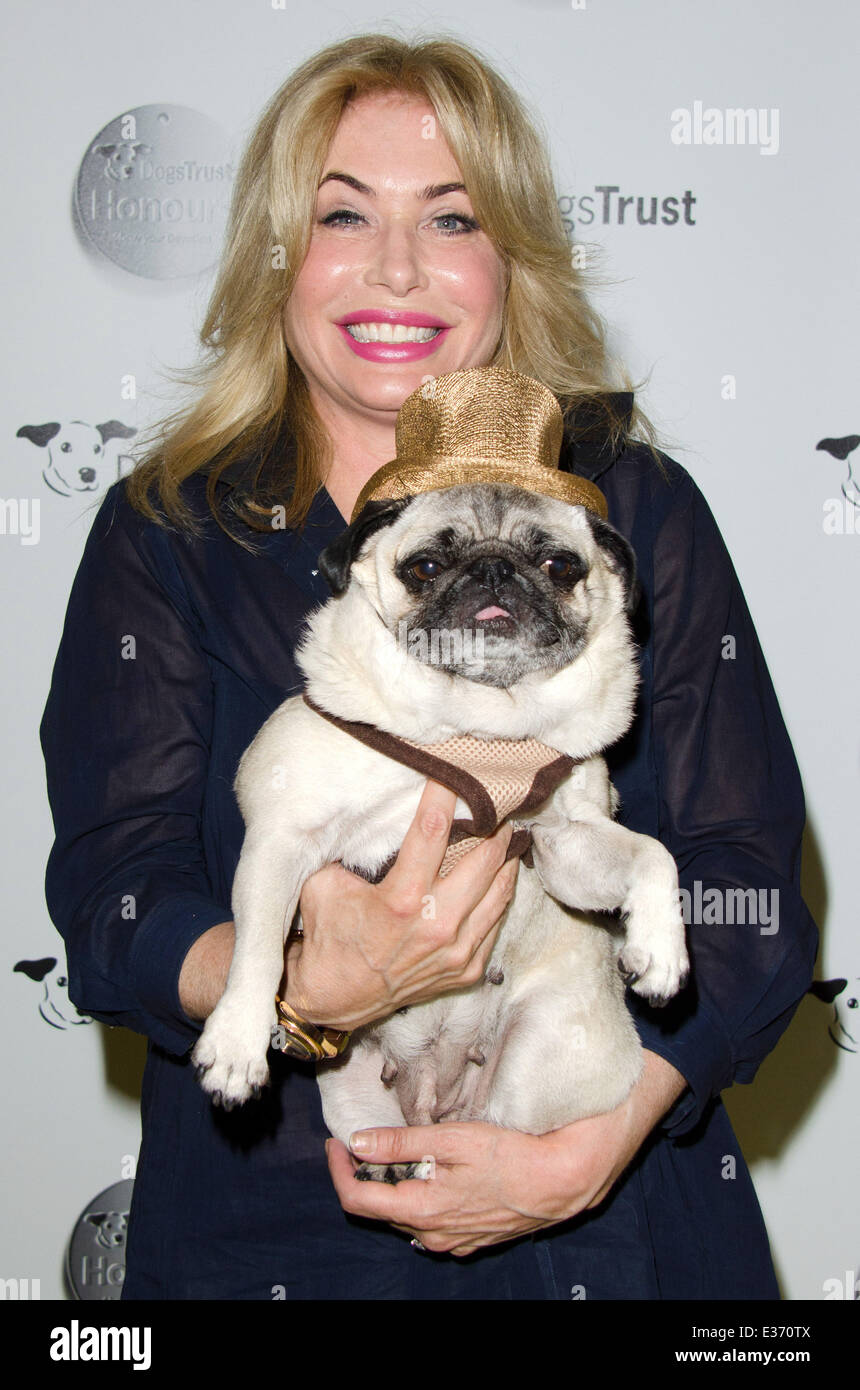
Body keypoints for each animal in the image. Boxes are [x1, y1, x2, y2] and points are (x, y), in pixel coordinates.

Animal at [191, 483, 689, 1178]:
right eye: (426, 566)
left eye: (560, 565)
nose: (495, 568)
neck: (482, 722)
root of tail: (438, 1095)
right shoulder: (283, 839)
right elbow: (259, 948)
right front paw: (237, 1040)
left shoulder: (565, 842)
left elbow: (654, 856)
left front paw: (662, 947)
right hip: (353, 1086)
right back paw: (392, 1164)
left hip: (538, 1057)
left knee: (492, 1135)